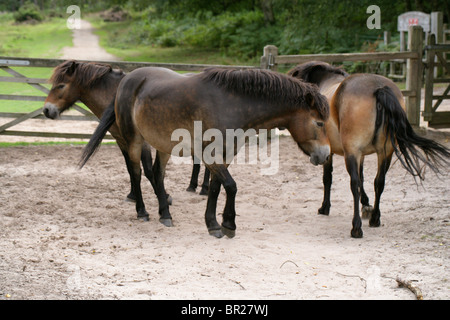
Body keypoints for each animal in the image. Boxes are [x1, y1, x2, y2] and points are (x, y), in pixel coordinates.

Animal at [79, 67, 328, 238]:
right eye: (319, 123)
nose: (325, 155)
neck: (230, 105)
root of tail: (127, 80)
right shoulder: (210, 155)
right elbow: (231, 186)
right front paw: (228, 224)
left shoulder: (225, 156)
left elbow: (217, 189)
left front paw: (214, 223)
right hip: (134, 141)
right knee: (136, 173)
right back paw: (142, 212)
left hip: (163, 145)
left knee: (157, 174)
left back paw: (165, 214)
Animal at [288, 62, 450, 238]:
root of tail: (379, 88)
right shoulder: (362, 154)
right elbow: (363, 178)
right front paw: (366, 205)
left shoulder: (334, 153)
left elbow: (329, 178)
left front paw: (325, 207)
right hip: (385, 153)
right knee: (379, 182)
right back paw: (375, 218)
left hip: (352, 152)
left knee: (354, 184)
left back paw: (356, 227)